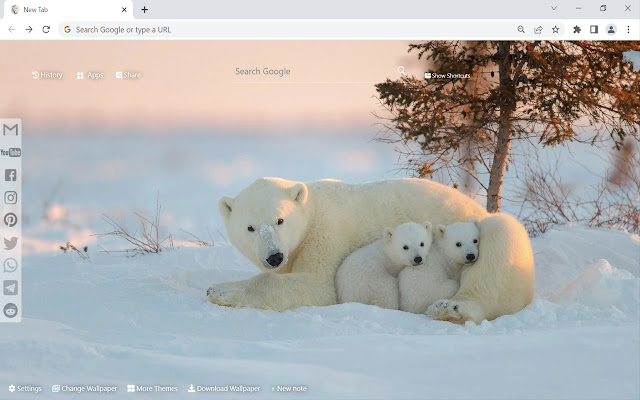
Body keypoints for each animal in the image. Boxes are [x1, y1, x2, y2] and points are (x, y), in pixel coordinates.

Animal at [208, 177, 535, 324]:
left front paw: (220, 290)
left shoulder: (326, 233)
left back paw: (451, 308)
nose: (274, 256)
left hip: (485, 235)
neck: (311, 208)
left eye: (280, 219)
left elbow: (318, 286)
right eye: (250, 227)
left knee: (500, 240)